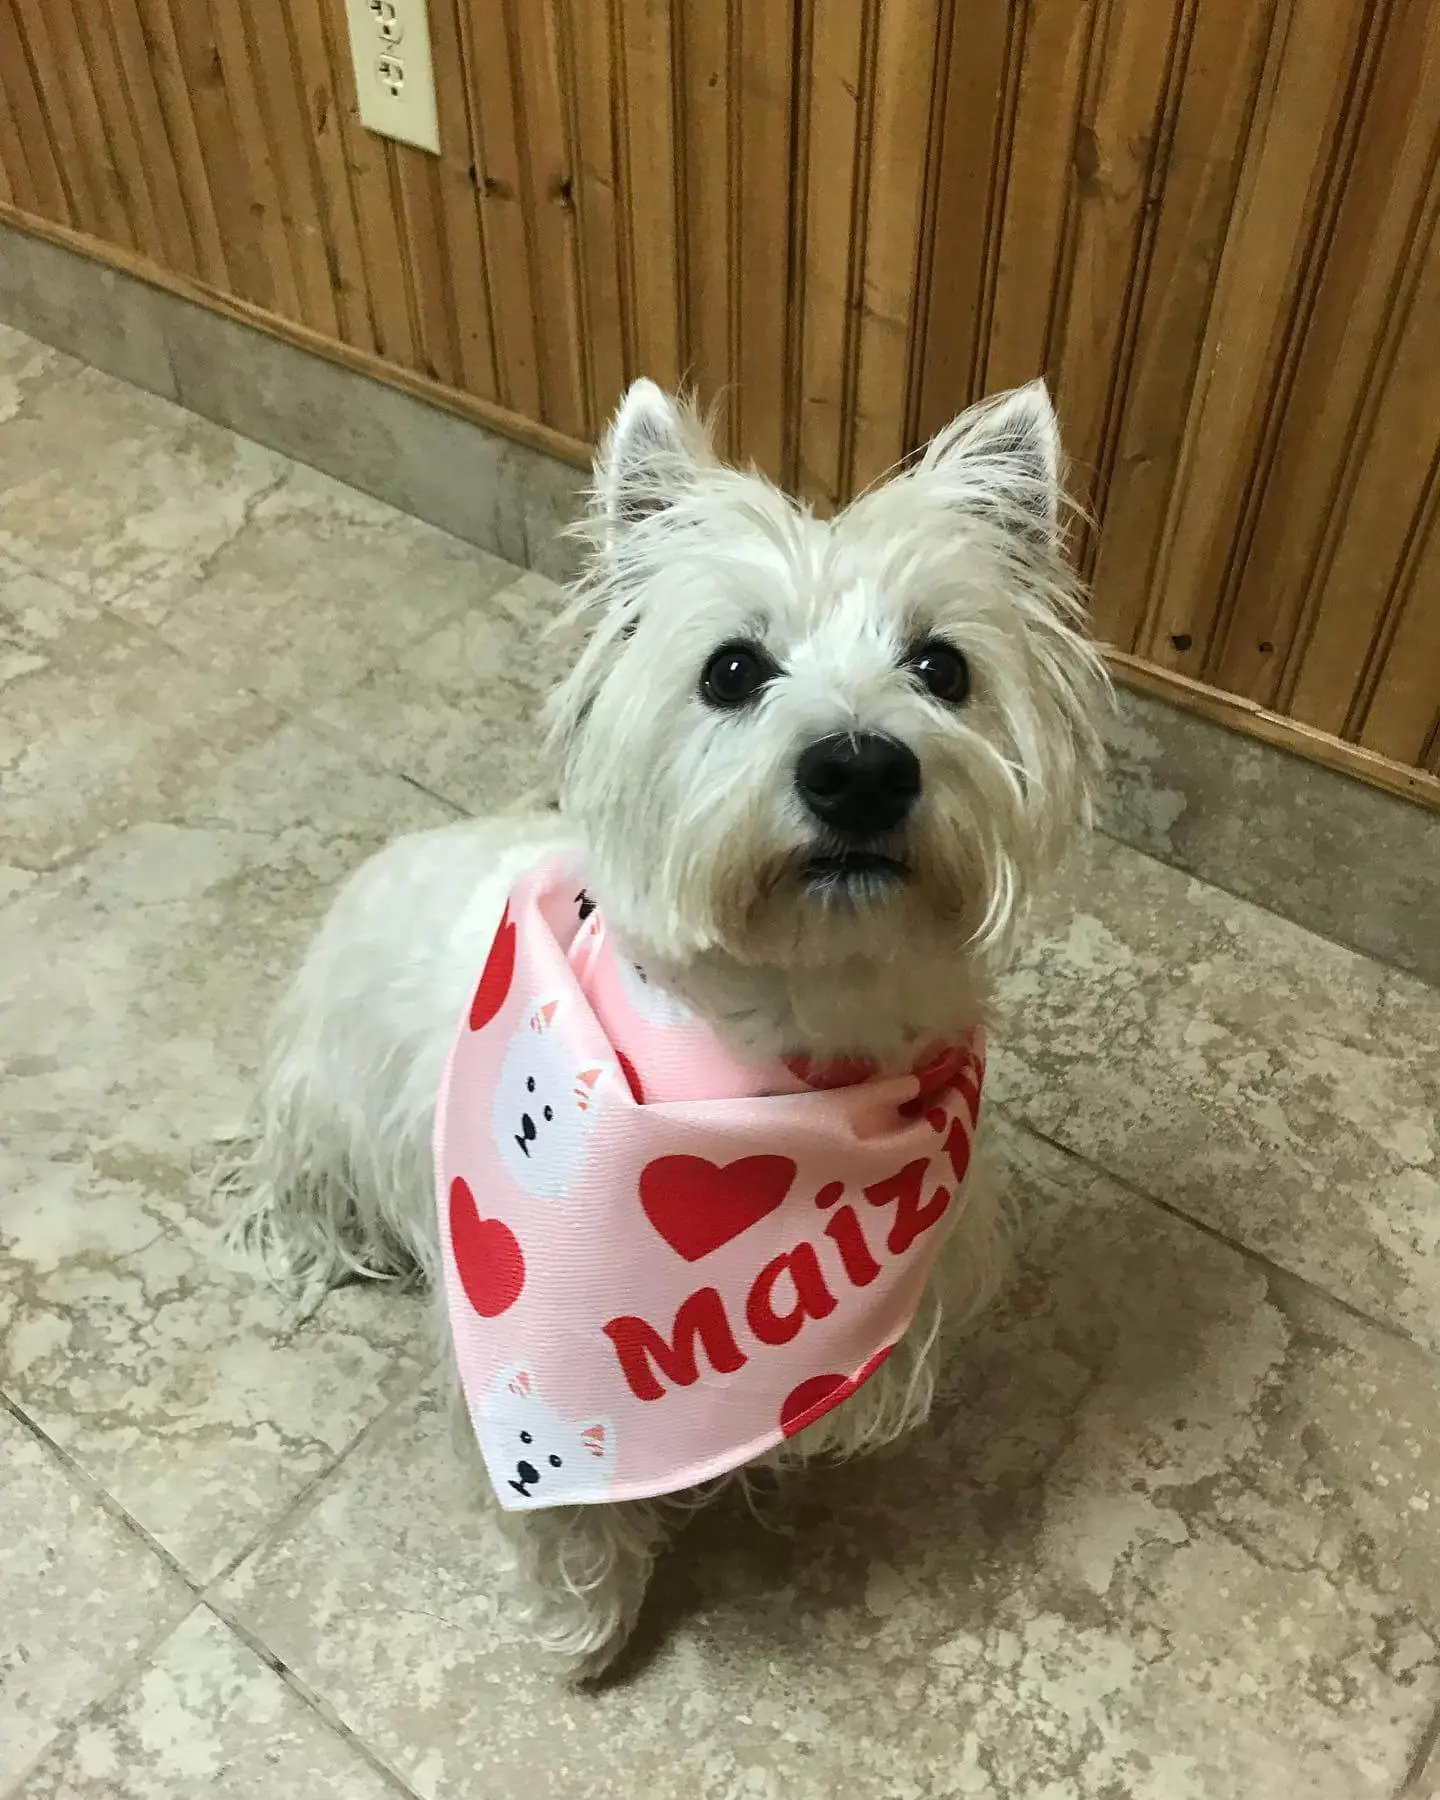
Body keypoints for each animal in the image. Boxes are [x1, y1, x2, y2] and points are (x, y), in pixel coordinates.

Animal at [222, 376, 1101, 1670]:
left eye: (943, 667)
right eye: (731, 669)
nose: (859, 769)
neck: (783, 1042)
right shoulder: (538, 1359)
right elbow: (569, 1512)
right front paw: (587, 1624)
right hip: (325, 1103)